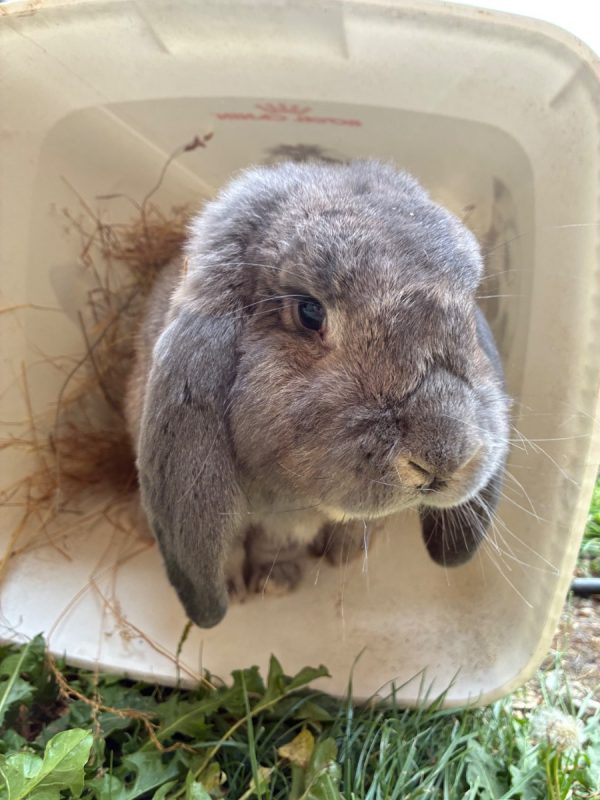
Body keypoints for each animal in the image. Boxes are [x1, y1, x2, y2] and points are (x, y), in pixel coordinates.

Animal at [125, 160, 510, 628]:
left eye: (468, 308)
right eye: (309, 312)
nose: (445, 457)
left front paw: (277, 581)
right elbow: (234, 545)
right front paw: (244, 590)